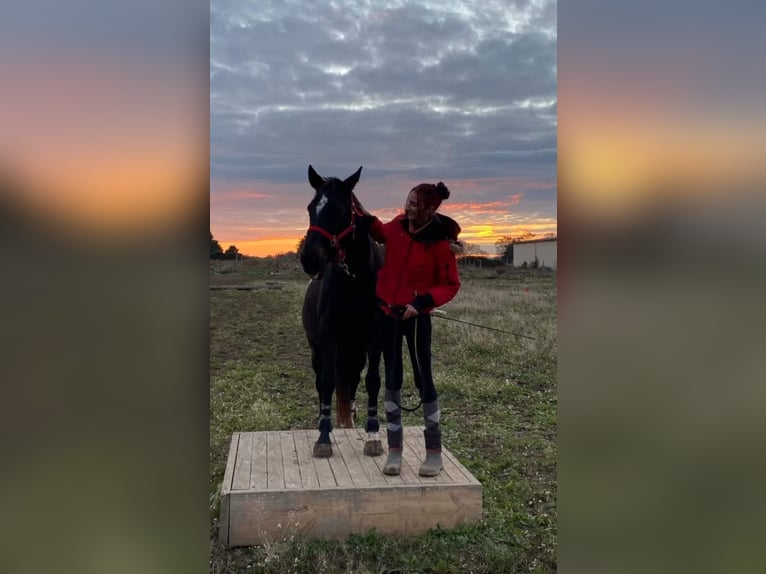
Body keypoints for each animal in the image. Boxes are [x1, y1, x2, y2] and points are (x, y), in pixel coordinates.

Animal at [298, 165, 384, 460]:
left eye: (340, 209)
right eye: (311, 207)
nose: (309, 259)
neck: (356, 282)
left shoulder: (374, 339)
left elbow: (372, 381)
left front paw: (373, 434)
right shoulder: (328, 339)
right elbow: (327, 383)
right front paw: (323, 437)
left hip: (354, 353)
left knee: (353, 380)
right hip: (319, 350)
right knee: (323, 380)